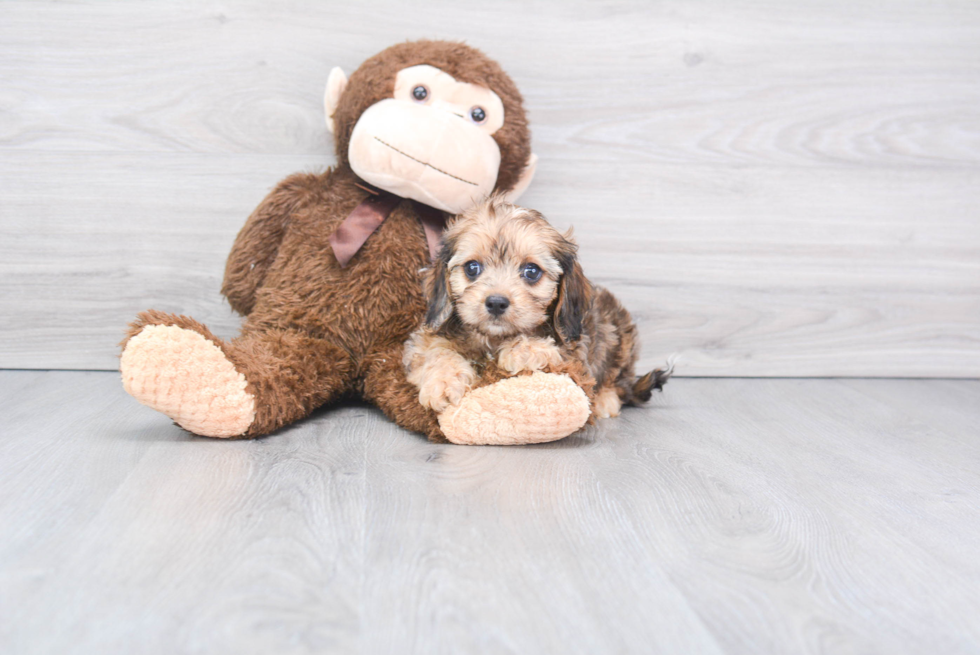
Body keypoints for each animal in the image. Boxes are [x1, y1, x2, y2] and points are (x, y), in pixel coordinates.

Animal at [402, 196, 668, 420]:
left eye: (531, 271)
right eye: (472, 268)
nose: (496, 302)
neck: (493, 339)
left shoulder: (574, 351)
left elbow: (550, 349)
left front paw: (521, 350)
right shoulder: (421, 341)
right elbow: (436, 350)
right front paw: (443, 382)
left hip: (619, 339)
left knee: (618, 380)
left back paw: (605, 400)